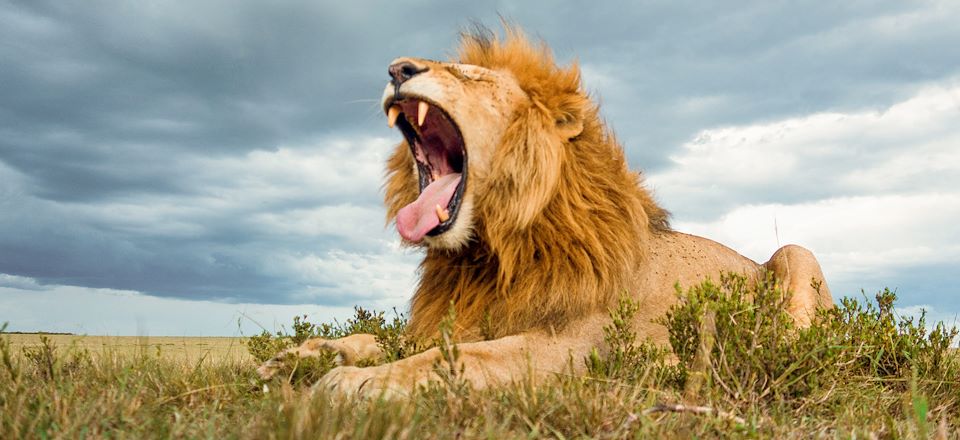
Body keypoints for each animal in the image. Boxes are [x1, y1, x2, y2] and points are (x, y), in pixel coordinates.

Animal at [256, 27, 832, 398]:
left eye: (470, 75)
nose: (398, 69)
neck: (485, 253)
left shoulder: (580, 346)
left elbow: (462, 356)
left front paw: (358, 380)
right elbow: (379, 339)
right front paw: (299, 356)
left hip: (795, 255)